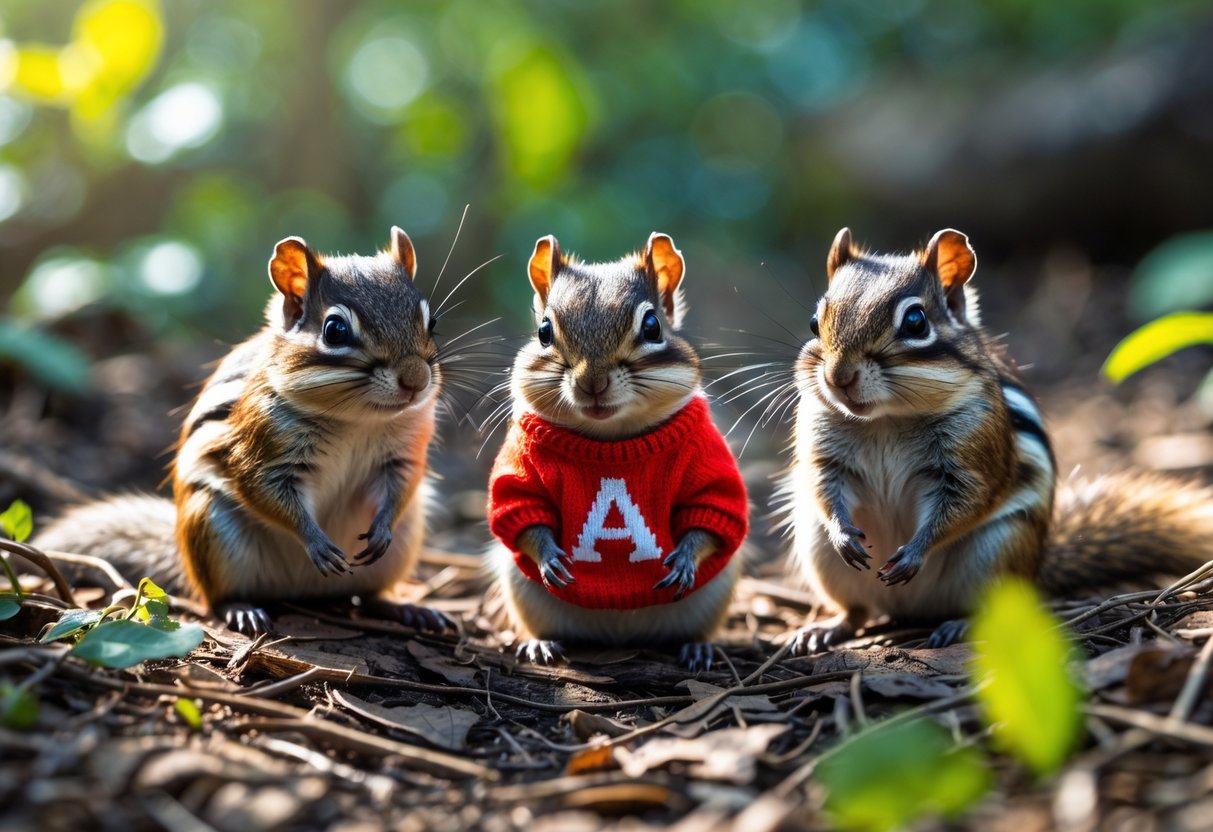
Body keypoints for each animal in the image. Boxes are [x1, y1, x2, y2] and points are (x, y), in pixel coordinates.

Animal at [32, 227, 453, 636]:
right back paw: (243, 609)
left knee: (367, 597)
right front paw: (315, 541)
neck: (358, 420)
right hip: (212, 531)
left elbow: (402, 484)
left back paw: (407, 610)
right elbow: (264, 491)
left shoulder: (403, 453)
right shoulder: (262, 449)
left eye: (431, 323)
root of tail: (304, 592)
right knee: (215, 598)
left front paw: (381, 528)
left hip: (404, 540)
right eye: (335, 330)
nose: (416, 380)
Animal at [486, 233, 749, 671]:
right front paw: (547, 556)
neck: (610, 438)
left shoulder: (705, 460)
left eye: (652, 326)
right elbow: (522, 512)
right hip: (522, 590)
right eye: (543, 331)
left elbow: (710, 513)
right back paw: (541, 644)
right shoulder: (522, 464)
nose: (592, 382)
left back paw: (698, 649)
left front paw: (685, 559)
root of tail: (620, 636)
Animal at [787, 226, 1213, 653]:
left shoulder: (973, 454)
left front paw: (916, 551)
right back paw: (825, 628)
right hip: (819, 552)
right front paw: (843, 534)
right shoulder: (823, 446)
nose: (839, 377)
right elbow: (822, 484)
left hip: (999, 554)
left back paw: (960, 626)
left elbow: (965, 503)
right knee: (857, 610)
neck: (885, 420)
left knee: (989, 613)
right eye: (813, 322)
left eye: (915, 322)